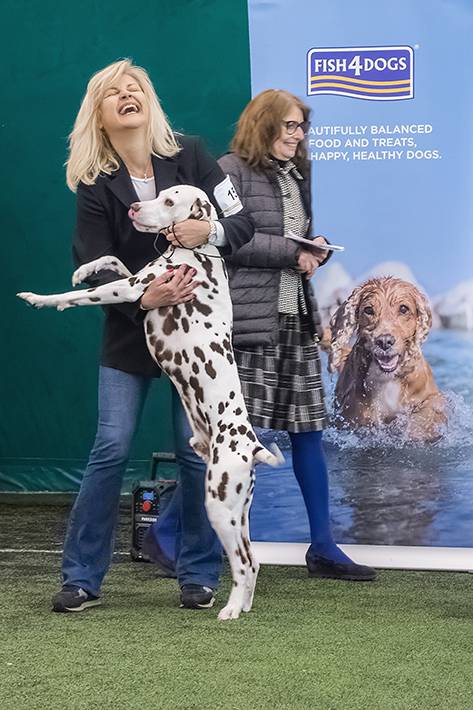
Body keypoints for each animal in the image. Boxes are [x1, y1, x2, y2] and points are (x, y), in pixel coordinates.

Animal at [17, 185, 284, 624]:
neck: (197, 253)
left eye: (171, 202)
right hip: (239, 511)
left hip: (219, 506)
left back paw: (229, 610)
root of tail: (251, 446)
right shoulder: (135, 283)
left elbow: (79, 296)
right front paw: (84, 268)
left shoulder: (131, 287)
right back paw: (241, 606)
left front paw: (42, 298)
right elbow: (110, 260)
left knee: (244, 564)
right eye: (159, 194)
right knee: (254, 560)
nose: (133, 208)